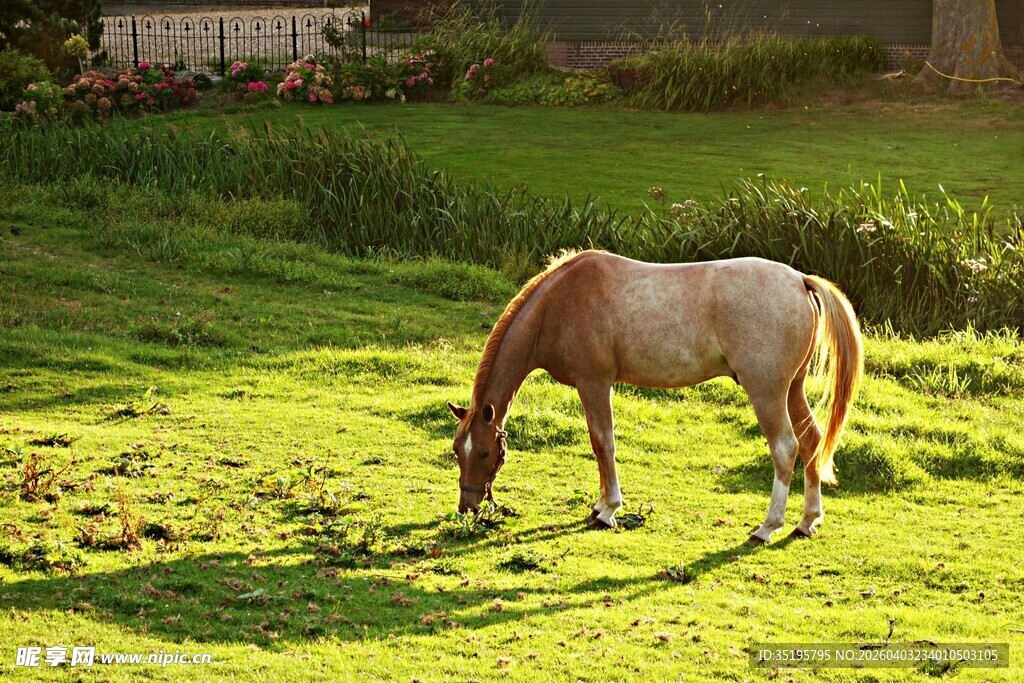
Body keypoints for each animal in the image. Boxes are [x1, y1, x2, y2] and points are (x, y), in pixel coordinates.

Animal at [447, 250, 863, 544]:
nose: (468, 506)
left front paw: (608, 510)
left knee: (785, 448)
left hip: (767, 391)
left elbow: (603, 443)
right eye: (456, 450)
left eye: (483, 452)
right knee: (811, 441)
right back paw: (807, 521)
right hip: (792, 388)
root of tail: (799, 281)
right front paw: (601, 504)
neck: (560, 303)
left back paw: (767, 526)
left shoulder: (594, 383)